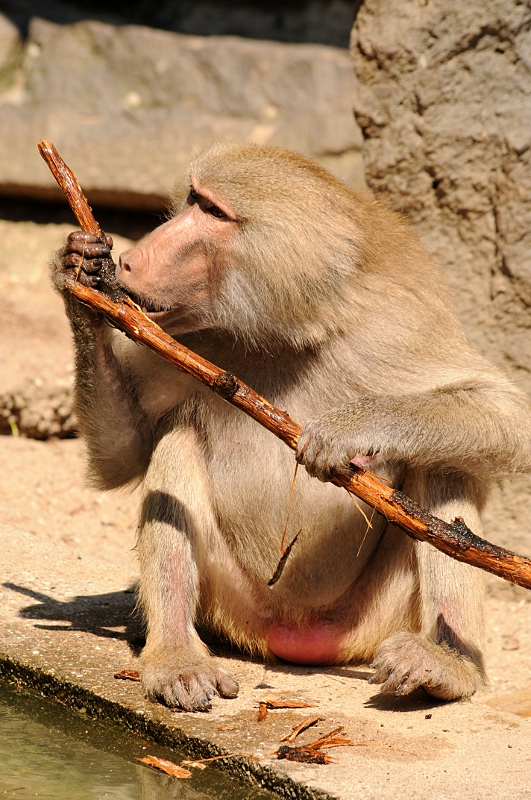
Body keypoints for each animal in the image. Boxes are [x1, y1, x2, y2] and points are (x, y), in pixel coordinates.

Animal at [52, 142, 531, 712]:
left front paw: (348, 430)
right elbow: (123, 456)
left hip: (377, 617)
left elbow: (509, 417)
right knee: (179, 443)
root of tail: (298, 637)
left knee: (445, 471)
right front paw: (82, 279)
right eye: (192, 199)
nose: (129, 260)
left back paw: (446, 665)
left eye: (214, 212)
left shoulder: (393, 325)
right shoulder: (177, 336)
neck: (289, 331)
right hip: (234, 607)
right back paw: (176, 657)